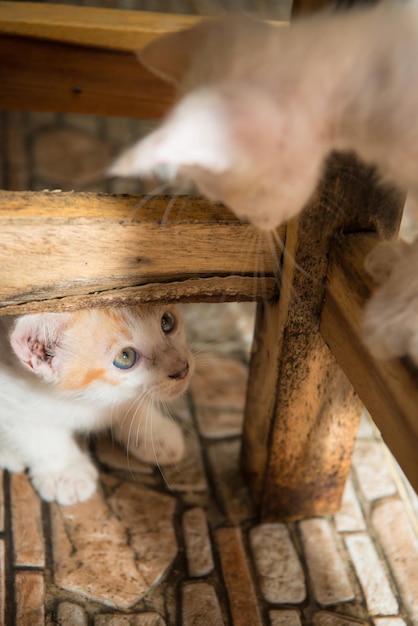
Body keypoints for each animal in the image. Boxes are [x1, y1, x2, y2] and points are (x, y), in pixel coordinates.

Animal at [0, 304, 193, 504]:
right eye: (125, 357)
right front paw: (67, 473)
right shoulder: (9, 394)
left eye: (167, 322)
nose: (183, 369)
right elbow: (36, 434)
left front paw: (154, 433)